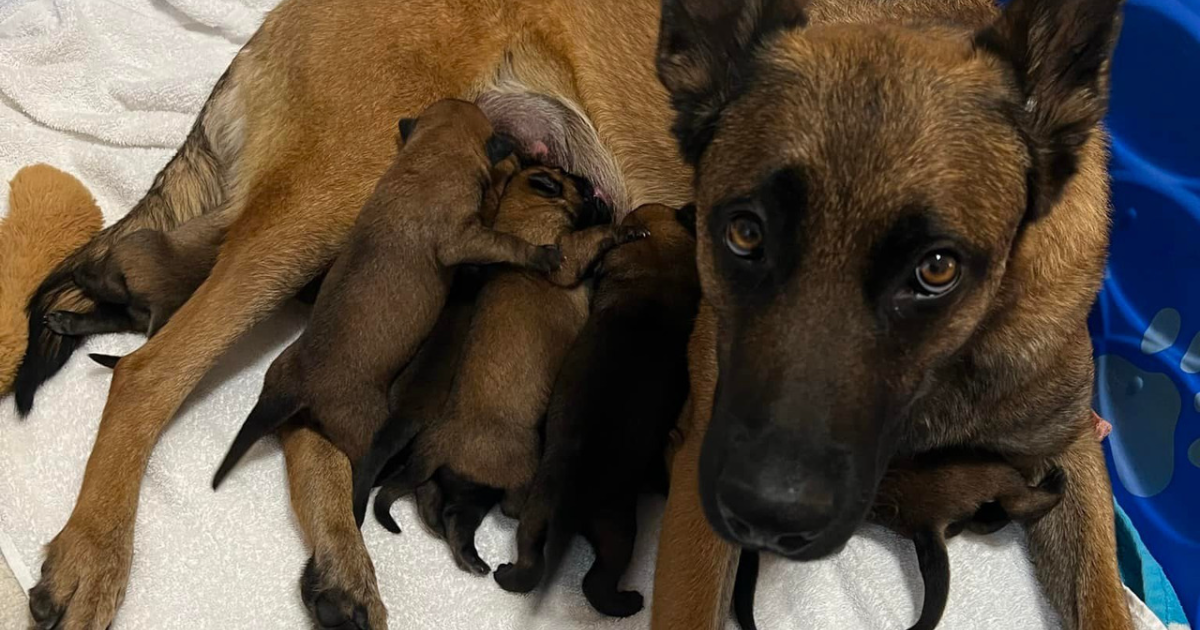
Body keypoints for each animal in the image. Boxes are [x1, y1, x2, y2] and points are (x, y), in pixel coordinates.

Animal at [210, 100, 556, 489]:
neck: (430, 155)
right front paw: (540, 253)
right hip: (365, 420)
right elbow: (505, 240)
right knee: (371, 462)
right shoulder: (463, 238)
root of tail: (299, 388)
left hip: (276, 374)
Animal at [364, 163, 648, 573]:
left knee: (449, 516)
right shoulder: (566, 254)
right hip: (519, 465)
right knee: (510, 508)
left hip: (456, 487)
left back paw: (472, 559)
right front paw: (624, 230)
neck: (523, 214)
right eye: (579, 186)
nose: (600, 192)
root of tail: (438, 447)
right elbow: (592, 237)